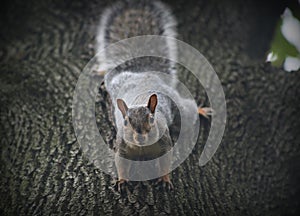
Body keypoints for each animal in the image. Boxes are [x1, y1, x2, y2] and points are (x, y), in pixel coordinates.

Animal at [96, 0, 211, 190]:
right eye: (126, 122)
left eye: (152, 118)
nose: (141, 137)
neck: (142, 148)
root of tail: (145, 73)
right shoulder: (122, 147)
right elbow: (121, 164)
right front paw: (121, 180)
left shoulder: (165, 143)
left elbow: (165, 163)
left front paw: (165, 179)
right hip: (116, 82)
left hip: (179, 107)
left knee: (189, 110)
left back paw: (201, 110)